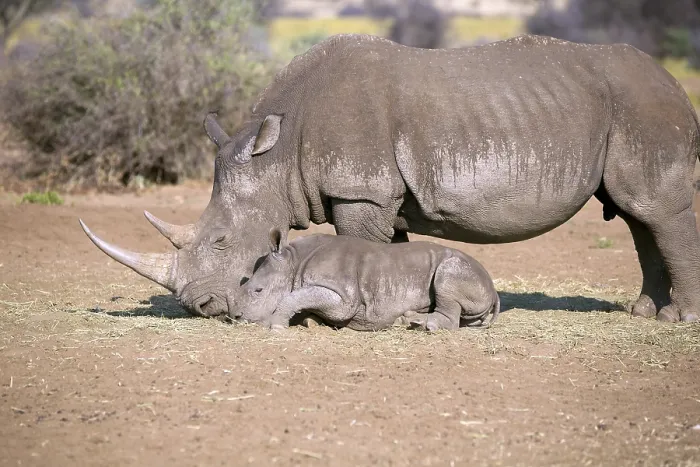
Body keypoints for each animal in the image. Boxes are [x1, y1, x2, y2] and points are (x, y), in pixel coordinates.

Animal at [230, 229, 500, 331]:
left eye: (258, 291)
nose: (234, 317)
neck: (293, 262)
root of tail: (494, 289)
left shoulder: (342, 296)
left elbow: (296, 296)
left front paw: (276, 326)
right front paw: (311, 322)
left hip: (463, 269)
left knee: (448, 273)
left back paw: (423, 325)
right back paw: (408, 320)